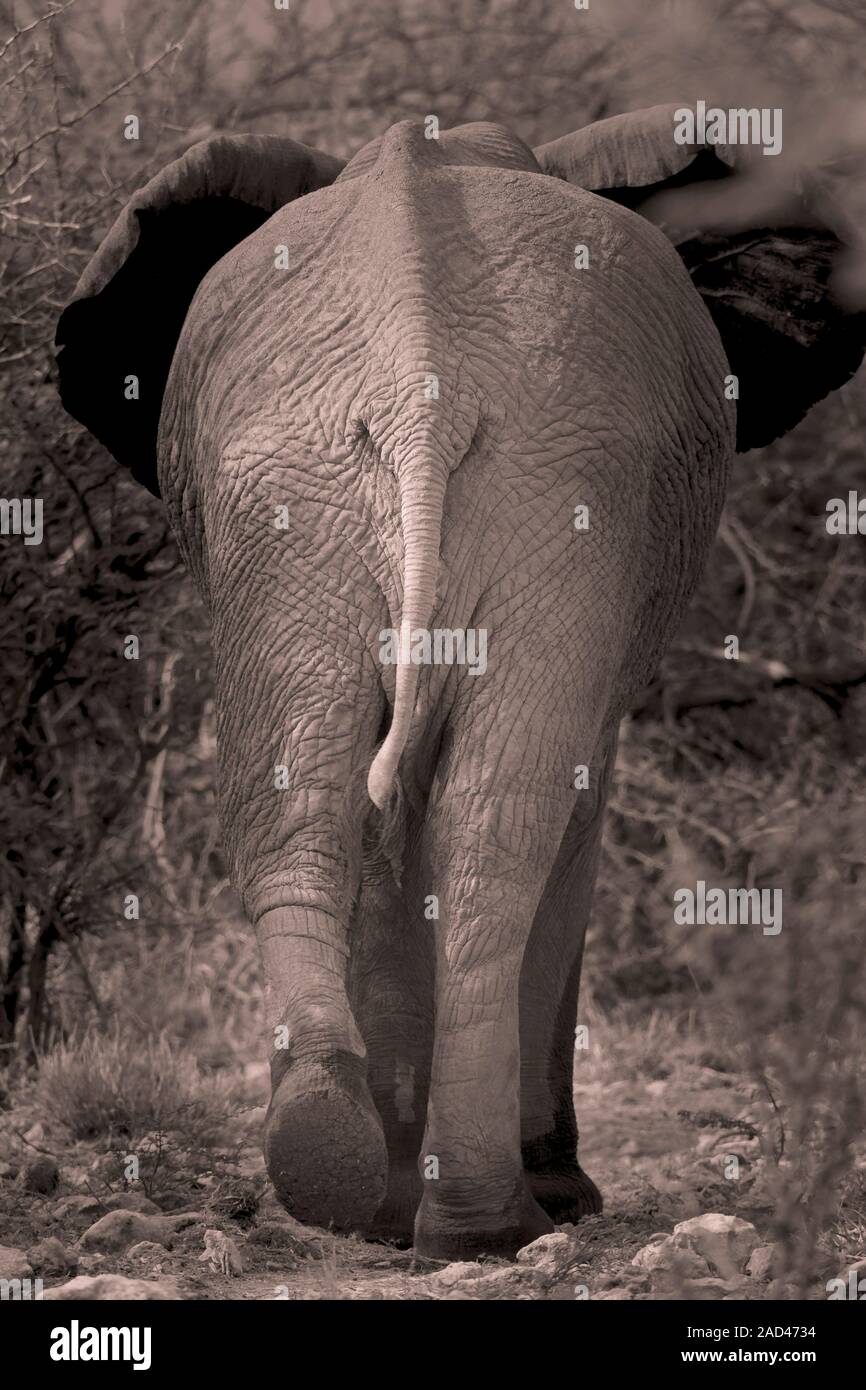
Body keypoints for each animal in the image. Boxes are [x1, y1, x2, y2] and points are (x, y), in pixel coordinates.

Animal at [56, 105, 866, 1261]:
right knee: (498, 820)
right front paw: (524, 1193)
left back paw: (344, 1165)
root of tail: (417, 384)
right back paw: (491, 1217)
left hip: (323, 495)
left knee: (308, 798)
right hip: (521, 491)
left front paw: (392, 1200)